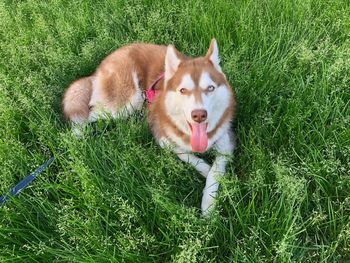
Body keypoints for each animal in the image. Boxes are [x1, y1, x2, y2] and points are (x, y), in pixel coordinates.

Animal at [63, 39, 237, 217]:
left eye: (210, 88)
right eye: (183, 90)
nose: (199, 115)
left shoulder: (226, 142)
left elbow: (215, 172)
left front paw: (209, 202)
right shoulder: (162, 137)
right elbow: (189, 156)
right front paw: (207, 173)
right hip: (126, 103)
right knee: (89, 112)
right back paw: (76, 136)